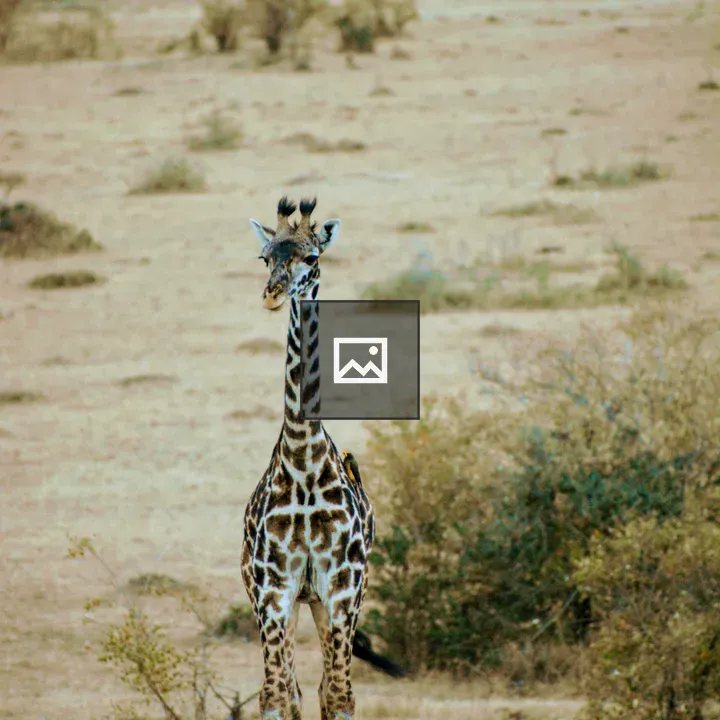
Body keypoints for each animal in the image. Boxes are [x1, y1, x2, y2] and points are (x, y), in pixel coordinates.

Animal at [241, 197, 376, 720]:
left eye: (312, 257)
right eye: (265, 257)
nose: (272, 296)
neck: (301, 459)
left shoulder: (341, 586)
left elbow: (338, 695)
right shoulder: (273, 589)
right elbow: (277, 695)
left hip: (332, 599)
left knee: (325, 688)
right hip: (285, 596)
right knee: (293, 689)